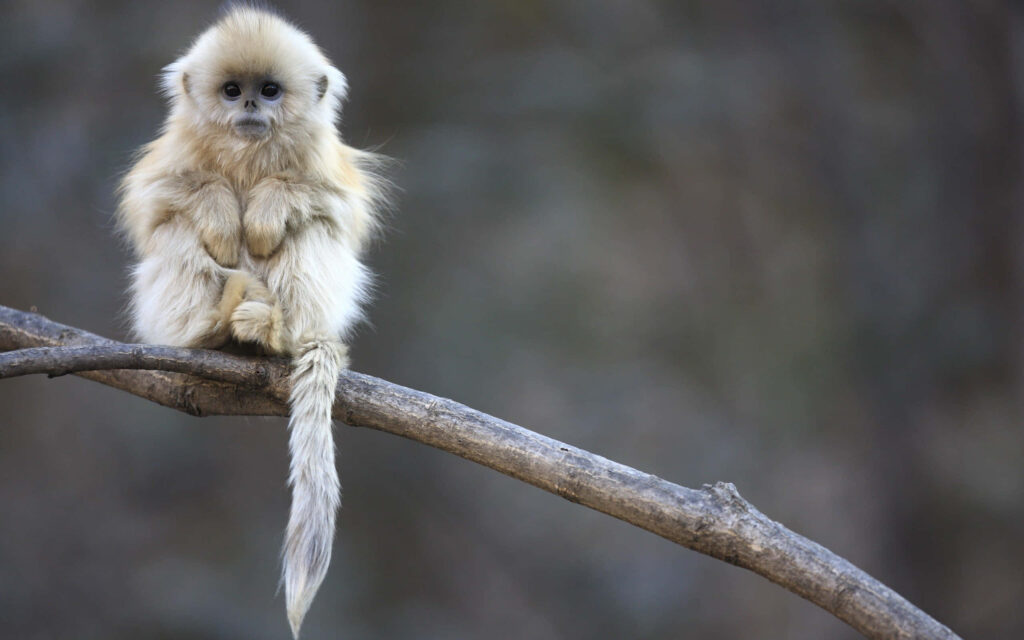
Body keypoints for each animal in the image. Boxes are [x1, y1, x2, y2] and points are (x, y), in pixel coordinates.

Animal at [116, 6, 385, 637]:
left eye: (269, 90)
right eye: (231, 91)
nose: (250, 110)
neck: (247, 153)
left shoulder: (326, 166)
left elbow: (333, 207)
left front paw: (265, 210)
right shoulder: (170, 159)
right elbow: (157, 202)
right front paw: (220, 212)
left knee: (313, 229)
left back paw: (272, 332)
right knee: (176, 231)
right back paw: (212, 328)